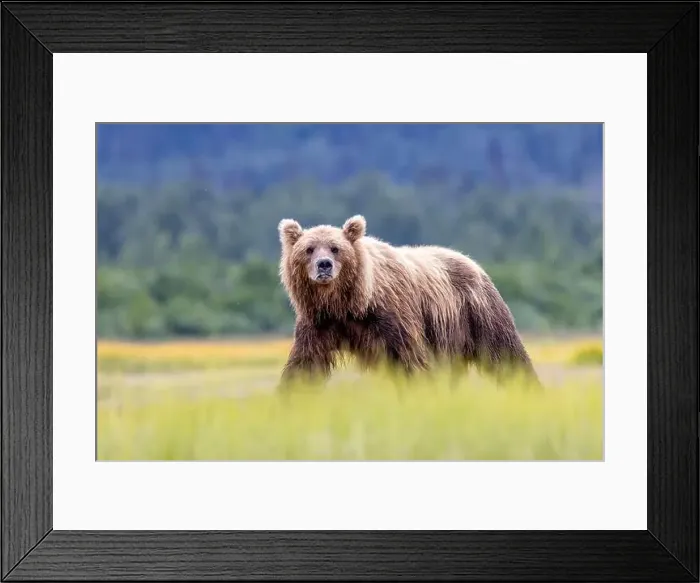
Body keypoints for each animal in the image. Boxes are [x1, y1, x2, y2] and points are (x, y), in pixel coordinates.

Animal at [276, 214, 541, 389]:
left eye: (335, 248)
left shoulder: (392, 315)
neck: (347, 304)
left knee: (505, 351)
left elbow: (410, 358)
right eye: (309, 249)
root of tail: (472, 261)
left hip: (476, 311)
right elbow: (304, 362)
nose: (324, 265)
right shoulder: (318, 322)